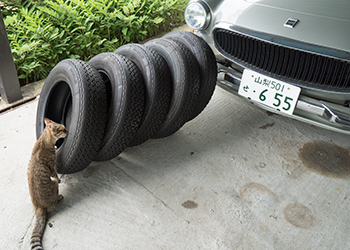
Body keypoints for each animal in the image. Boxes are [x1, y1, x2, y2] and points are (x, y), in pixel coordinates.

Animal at [27, 118, 67, 249]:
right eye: (62, 129)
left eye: (65, 127)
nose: (68, 131)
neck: (44, 140)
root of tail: (40, 207)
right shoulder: (51, 167)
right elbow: (55, 175)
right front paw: (59, 179)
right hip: (53, 185)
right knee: (53, 205)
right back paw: (59, 197)